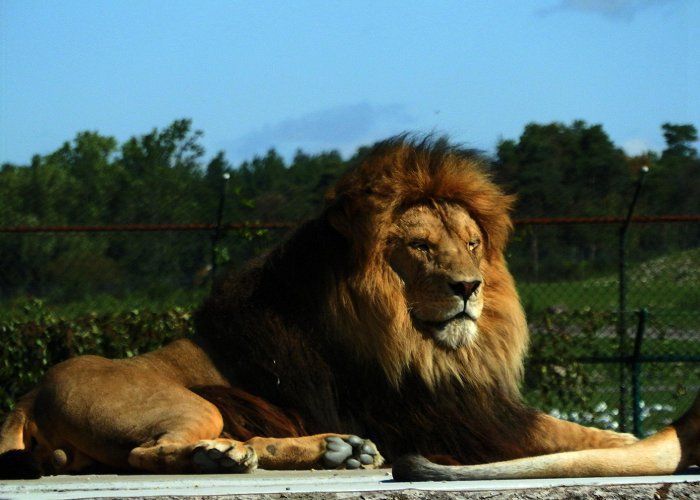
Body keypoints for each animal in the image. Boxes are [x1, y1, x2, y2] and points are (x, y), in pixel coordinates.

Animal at [2, 135, 688, 478]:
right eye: (420, 246)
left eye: (471, 244)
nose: (469, 287)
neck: (426, 350)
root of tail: (29, 394)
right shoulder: (453, 420)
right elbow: (565, 432)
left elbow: (589, 431)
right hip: (189, 403)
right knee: (146, 455)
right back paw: (221, 457)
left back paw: (334, 449)